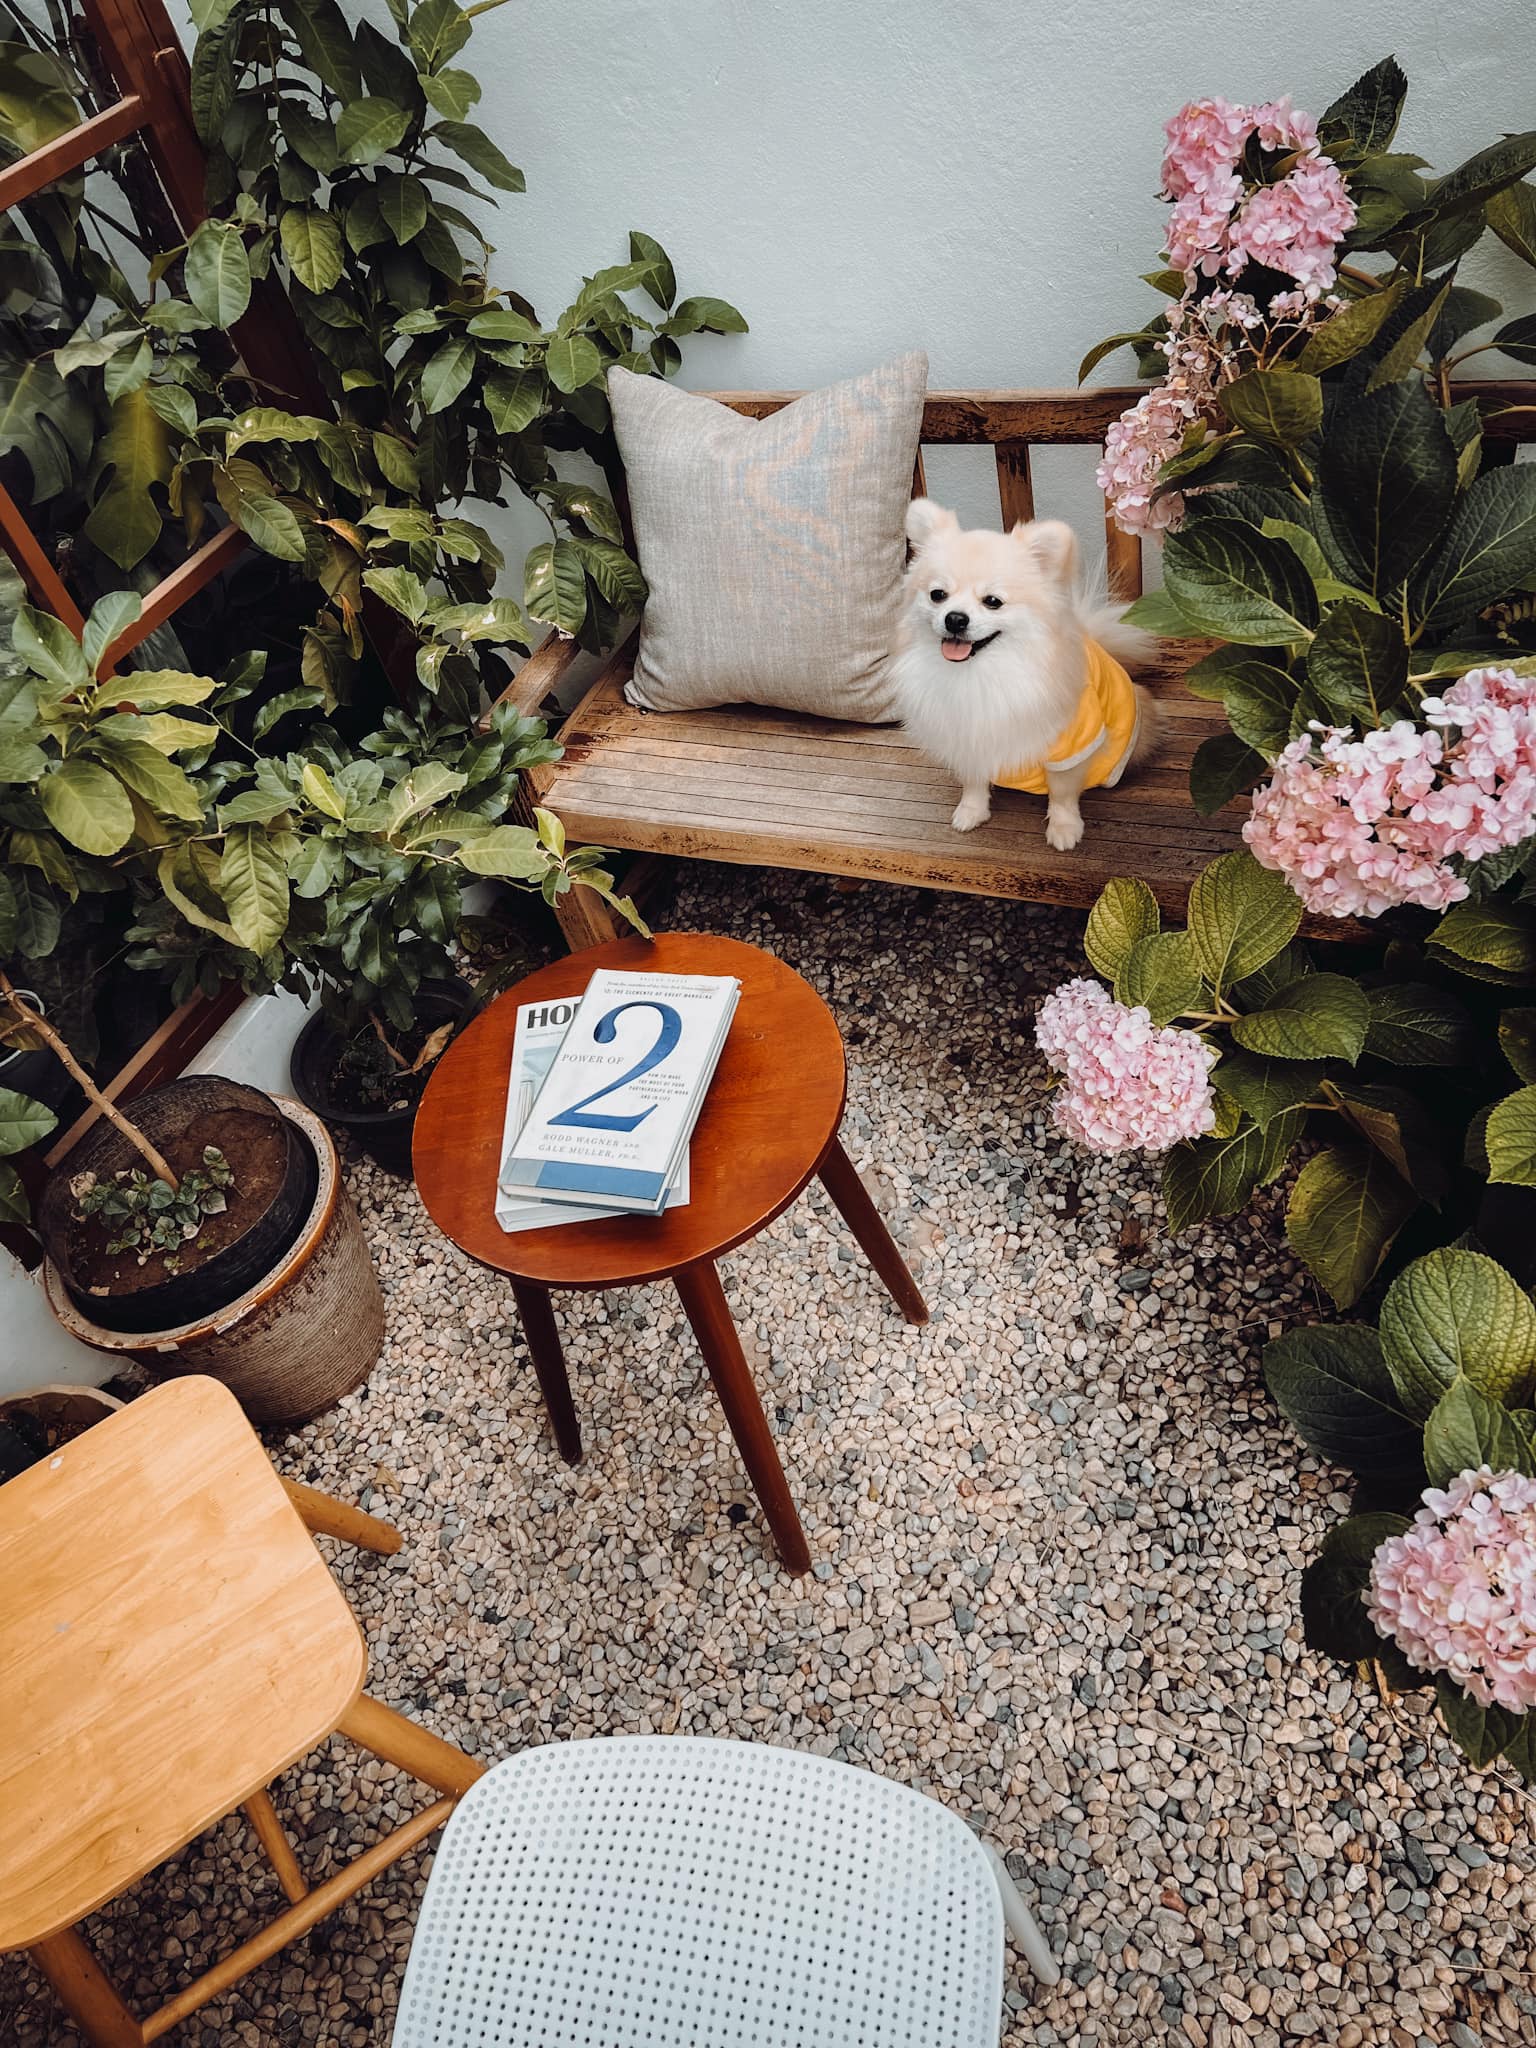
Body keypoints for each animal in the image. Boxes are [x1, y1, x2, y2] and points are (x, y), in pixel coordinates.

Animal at [891, 500, 1159, 850]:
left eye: (993, 601)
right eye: (938, 594)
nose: (955, 618)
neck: (981, 673)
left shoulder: (1070, 745)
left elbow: (1062, 793)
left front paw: (1064, 828)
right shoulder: (966, 736)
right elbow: (973, 781)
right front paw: (971, 812)